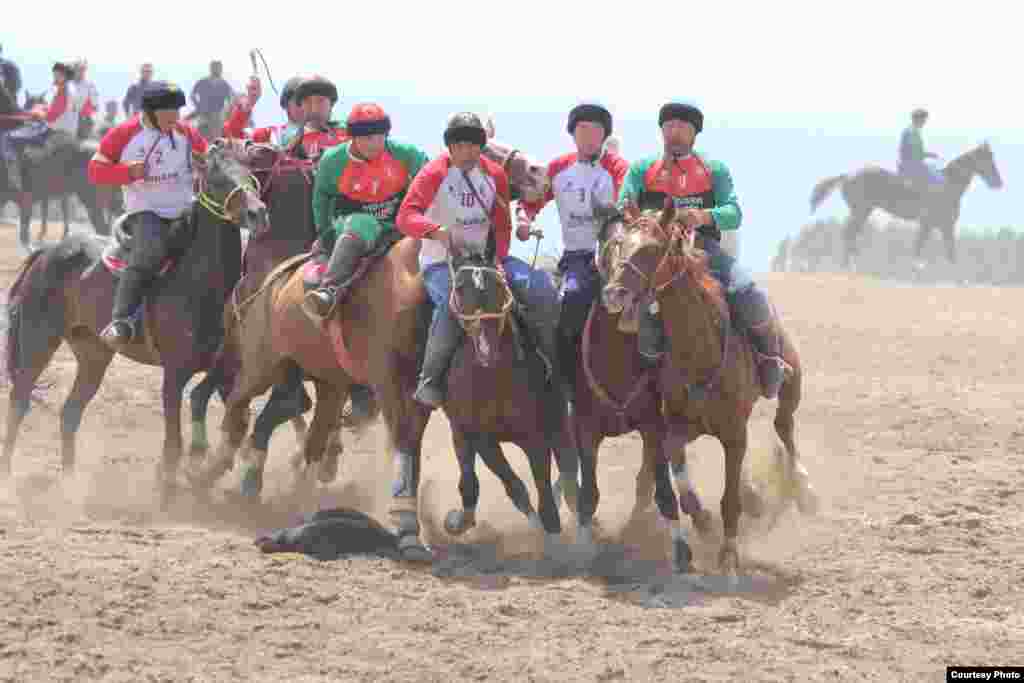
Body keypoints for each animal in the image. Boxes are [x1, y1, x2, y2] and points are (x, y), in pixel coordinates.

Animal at [1, 141, 264, 505]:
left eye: (251, 174)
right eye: (217, 178)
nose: (257, 213)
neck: (203, 286)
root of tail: (46, 252)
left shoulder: (226, 374)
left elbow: (238, 426)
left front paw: (207, 475)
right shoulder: (174, 375)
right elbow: (173, 441)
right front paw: (168, 487)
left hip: (93, 354)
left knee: (69, 413)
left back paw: (69, 483)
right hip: (38, 340)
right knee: (19, 402)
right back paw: (9, 478)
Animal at [598, 204, 815, 577]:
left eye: (653, 248)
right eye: (619, 244)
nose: (614, 293)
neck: (699, 349)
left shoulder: (734, 434)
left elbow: (731, 500)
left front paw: (728, 556)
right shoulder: (679, 428)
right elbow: (682, 483)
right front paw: (704, 522)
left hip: (791, 382)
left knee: (784, 426)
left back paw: (802, 488)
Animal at [811, 141, 1003, 270]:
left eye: (993, 158)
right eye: (987, 159)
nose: (998, 183)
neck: (948, 184)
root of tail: (848, 175)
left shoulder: (944, 225)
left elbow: (948, 250)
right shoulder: (932, 223)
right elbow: (921, 245)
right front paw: (917, 267)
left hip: (863, 211)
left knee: (851, 234)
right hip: (861, 211)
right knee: (849, 233)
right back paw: (851, 264)